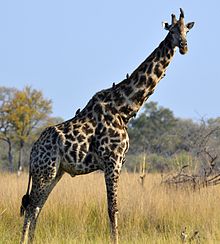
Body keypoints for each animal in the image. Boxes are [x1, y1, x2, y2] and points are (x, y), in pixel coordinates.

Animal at [19, 8, 193, 244]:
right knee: (31, 207)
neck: (124, 108)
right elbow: (113, 209)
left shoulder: (117, 162)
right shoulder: (113, 162)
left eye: (187, 30)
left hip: (55, 172)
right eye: (172, 30)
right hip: (45, 170)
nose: (184, 46)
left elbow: (113, 208)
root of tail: (32, 151)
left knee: (37, 206)